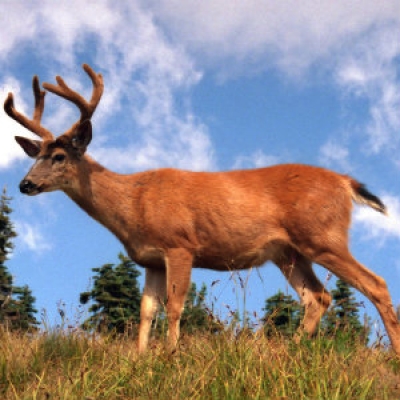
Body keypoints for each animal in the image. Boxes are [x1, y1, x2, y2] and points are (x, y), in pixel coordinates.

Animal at [3, 64, 400, 354]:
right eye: (35, 155)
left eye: (59, 156)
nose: (25, 184)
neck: (133, 204)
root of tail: (345, 182)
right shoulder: (149, 259)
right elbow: (146, 311)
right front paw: (140, 358)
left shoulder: (180, 244)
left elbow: (175, 305)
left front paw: (170, 355)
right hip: (288, 252)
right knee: (318, 296)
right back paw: (288, 351)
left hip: (323, 234)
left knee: (375, 283)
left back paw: (391, 355)